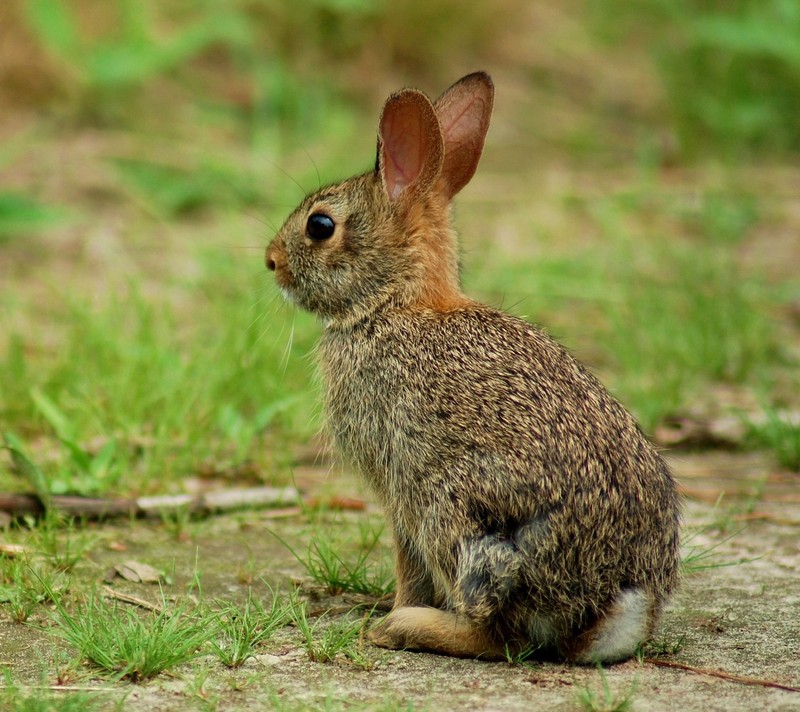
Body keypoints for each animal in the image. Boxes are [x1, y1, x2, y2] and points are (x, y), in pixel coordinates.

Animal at [266, 71, 680, 660]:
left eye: (320, 226)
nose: (271, 261)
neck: (393, 303)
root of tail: (616, 603)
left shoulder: (398, 485)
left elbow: (407, 564)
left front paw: (390, 612)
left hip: (460, 515)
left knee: (498, 634)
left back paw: (404, 627)